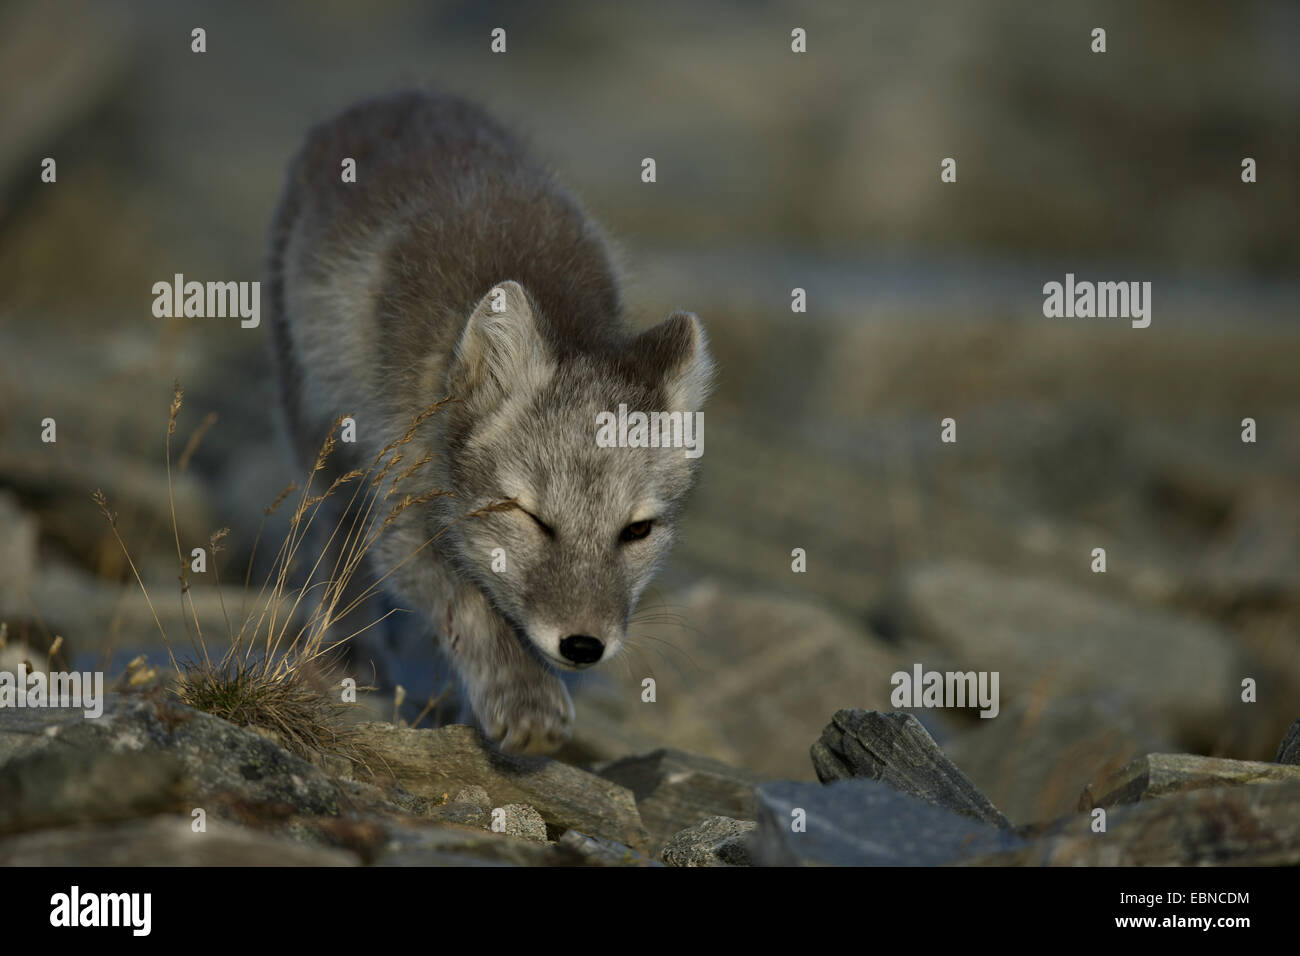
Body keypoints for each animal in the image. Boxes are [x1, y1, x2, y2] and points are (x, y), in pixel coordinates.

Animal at [266, 91, 714, 754]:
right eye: (531, 518)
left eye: (637, 531)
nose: (583, 646)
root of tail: (402, 96)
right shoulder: (406, 517)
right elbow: (472, 603)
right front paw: (524, 698)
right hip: (319, 423)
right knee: (334, 529)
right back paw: (345, 652)